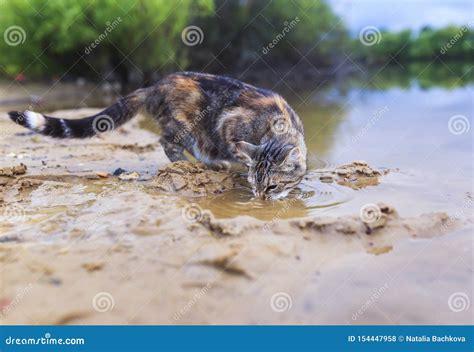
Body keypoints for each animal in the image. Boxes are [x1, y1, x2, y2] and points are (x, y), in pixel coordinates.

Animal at [11, 72, 310, 198]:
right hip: (185, 126)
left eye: (271, 186)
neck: (277, 125)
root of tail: (153, 86)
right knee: (169, 143)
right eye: (259, 186)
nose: (260, 199)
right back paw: (196, 164)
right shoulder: (229, 125)